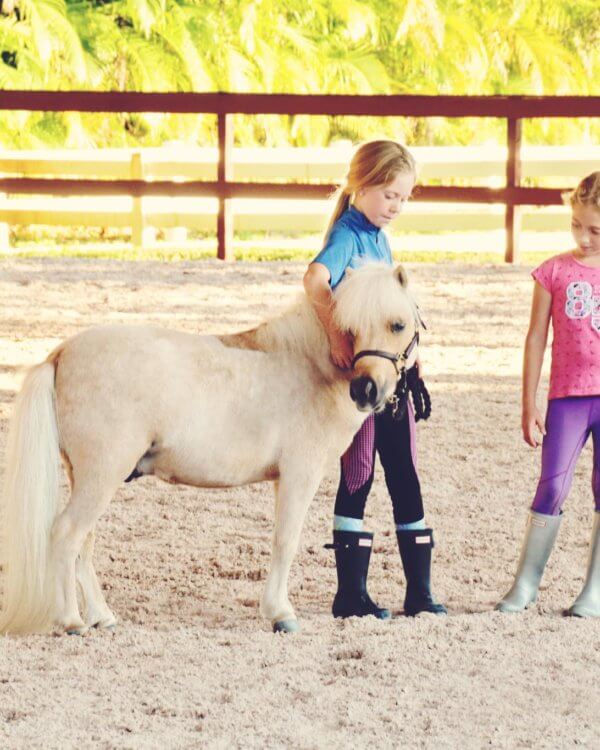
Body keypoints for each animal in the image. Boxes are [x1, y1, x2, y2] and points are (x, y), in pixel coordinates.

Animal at [1, 264, 422, 636]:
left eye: (398, 325)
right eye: (349, 329)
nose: (366, 390)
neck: (310, 365)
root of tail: (61, 353)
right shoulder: (300, 475)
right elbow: (285, 541)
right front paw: (280, 614)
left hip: (90, 477)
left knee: (83, 543)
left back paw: (101, 617)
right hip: (101, 475)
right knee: (66, 534)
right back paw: (71, 621)